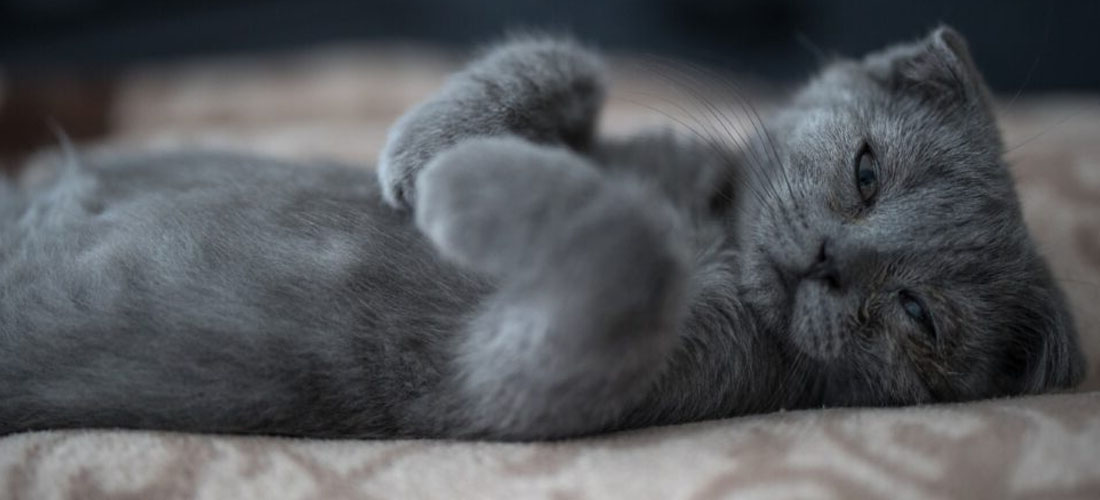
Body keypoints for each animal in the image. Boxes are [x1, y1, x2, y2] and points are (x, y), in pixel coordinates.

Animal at [0, 25, 1082, 439]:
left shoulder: (531, 375)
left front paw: (453, 181)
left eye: (917, 312)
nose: (829, 258)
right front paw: (421, 147)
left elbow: (630, 255)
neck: (711, 226)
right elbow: (573, 60)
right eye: (864, 172)